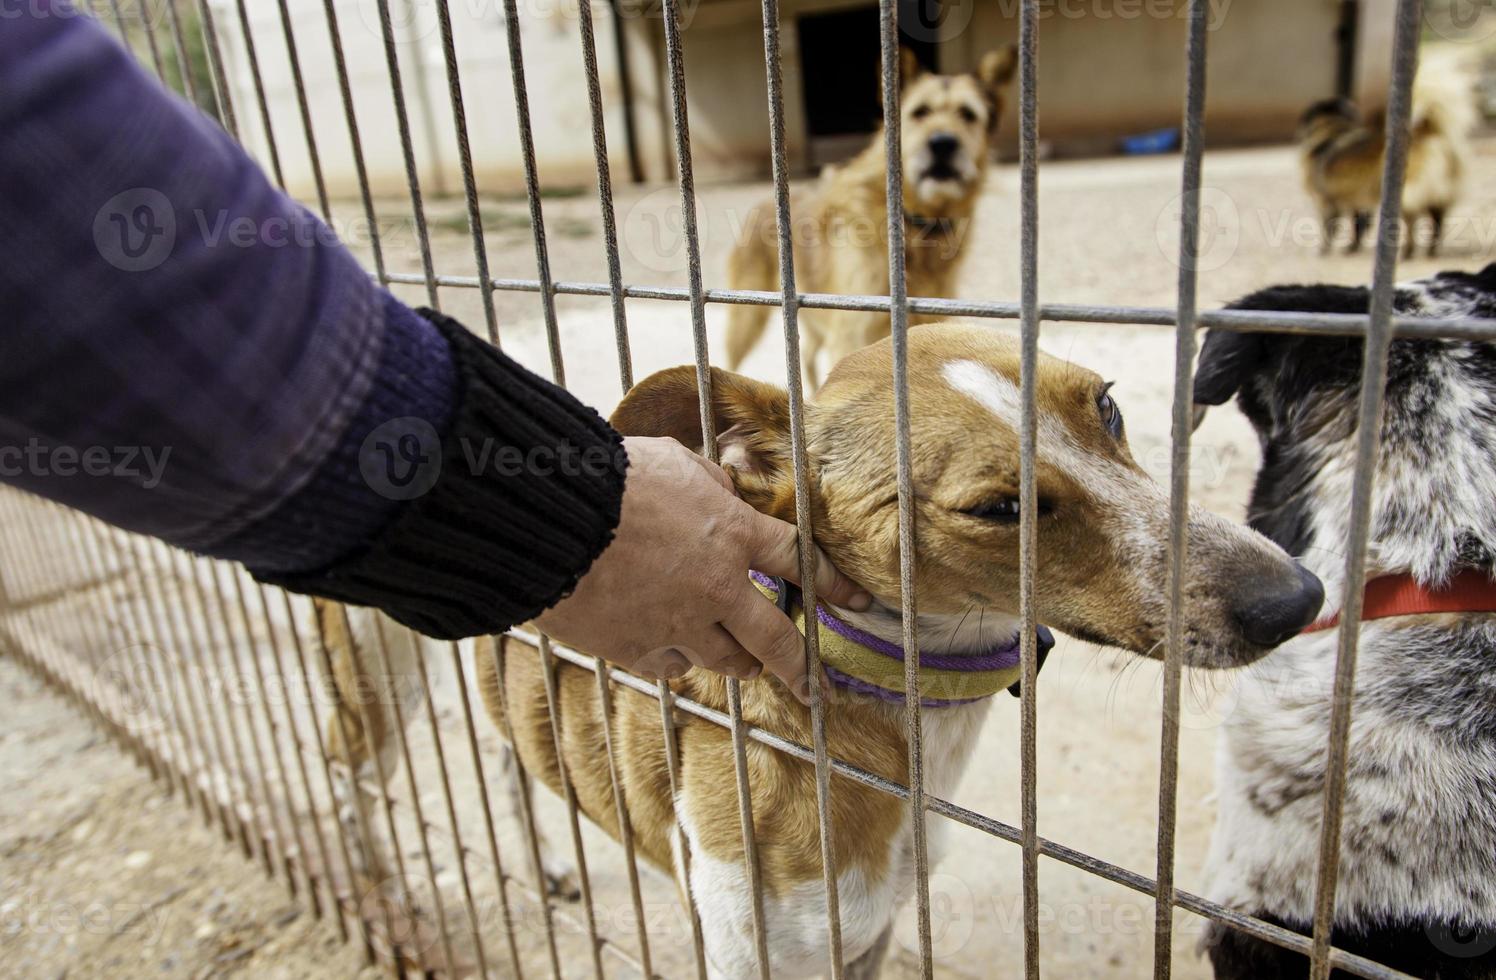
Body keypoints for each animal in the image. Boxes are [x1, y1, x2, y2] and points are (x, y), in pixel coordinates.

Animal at [321, 326, 1316, 975]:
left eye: (1106, 407)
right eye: (999, 508)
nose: (1297, 599)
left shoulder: (868, 938)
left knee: (508, 758)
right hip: (373, 684)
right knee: (348, 778)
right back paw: (376, 900)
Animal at [721, 46, 1017, 392]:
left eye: (968, 115)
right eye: (920, 112)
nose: (943, 143)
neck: (916, 228)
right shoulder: (851, 335)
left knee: (806, 355)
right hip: (748, 318)